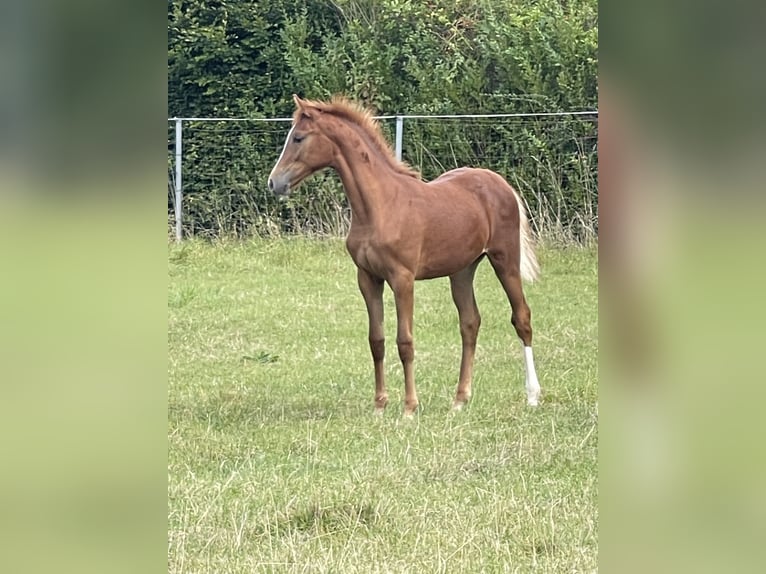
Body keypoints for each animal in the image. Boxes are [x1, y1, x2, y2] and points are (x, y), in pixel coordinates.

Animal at [270, 97, 544, 416]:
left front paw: (410, 407)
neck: (381, 206)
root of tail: (501, 184)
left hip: (505, 259)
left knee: (521, 317)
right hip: (462, 270)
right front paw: (379, 405)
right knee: (470, 323)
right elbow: (376, 340)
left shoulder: (403, 279)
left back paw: (532, 395)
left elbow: (405, 342)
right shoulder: (368, 278)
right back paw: (460, 399)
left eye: (298, 138)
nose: (274, 182)